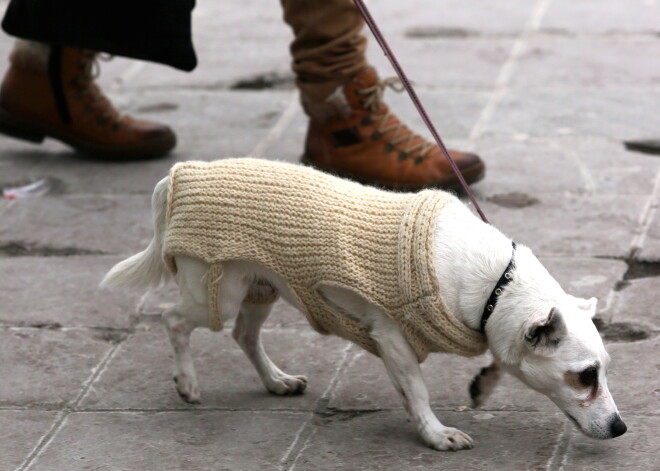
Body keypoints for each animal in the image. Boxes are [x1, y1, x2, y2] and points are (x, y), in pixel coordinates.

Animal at [100, 159, 628, 454]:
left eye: (603, 371)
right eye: (585, 376)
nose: (621, 428)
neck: (497, 284)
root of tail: (180, 174)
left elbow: (498, 357)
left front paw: (482, 385)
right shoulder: (392, 336)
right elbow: (417, 392)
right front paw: (435, 434)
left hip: (259, 287)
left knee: (244, 336)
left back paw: (276, 381)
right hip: (218, 292)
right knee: (173, 320)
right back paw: (187, 382)